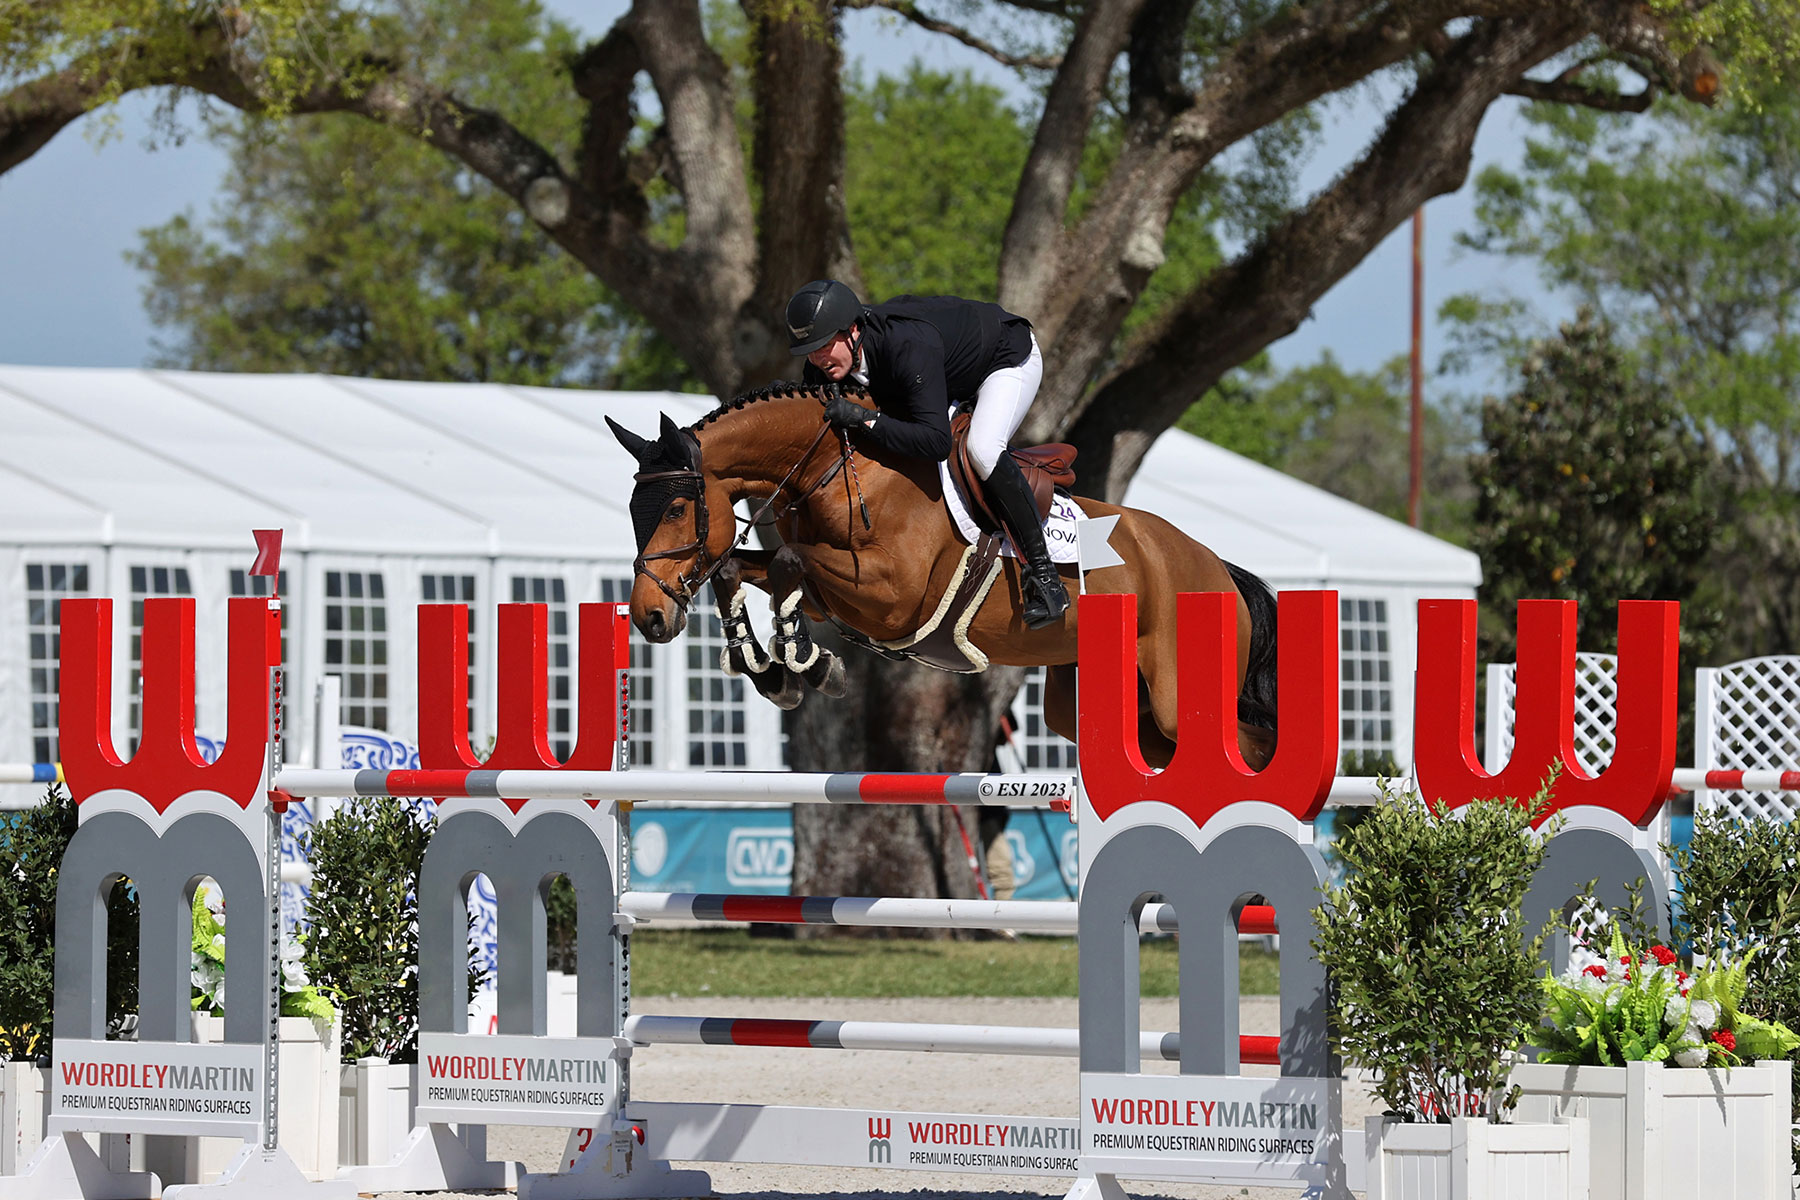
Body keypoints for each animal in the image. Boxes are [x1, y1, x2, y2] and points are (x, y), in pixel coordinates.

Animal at [608, 390, 1281, 773]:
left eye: (675, 509)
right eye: (635, 511)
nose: (647, 616)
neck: (835, 464)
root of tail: (1217, 566)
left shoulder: (890, 597)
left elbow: (786, 562)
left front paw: (803, 661)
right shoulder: (834, 592)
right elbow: (738, 567)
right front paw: (775, 671)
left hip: (1173, 697)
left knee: (1245, 747)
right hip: (1098, 702)